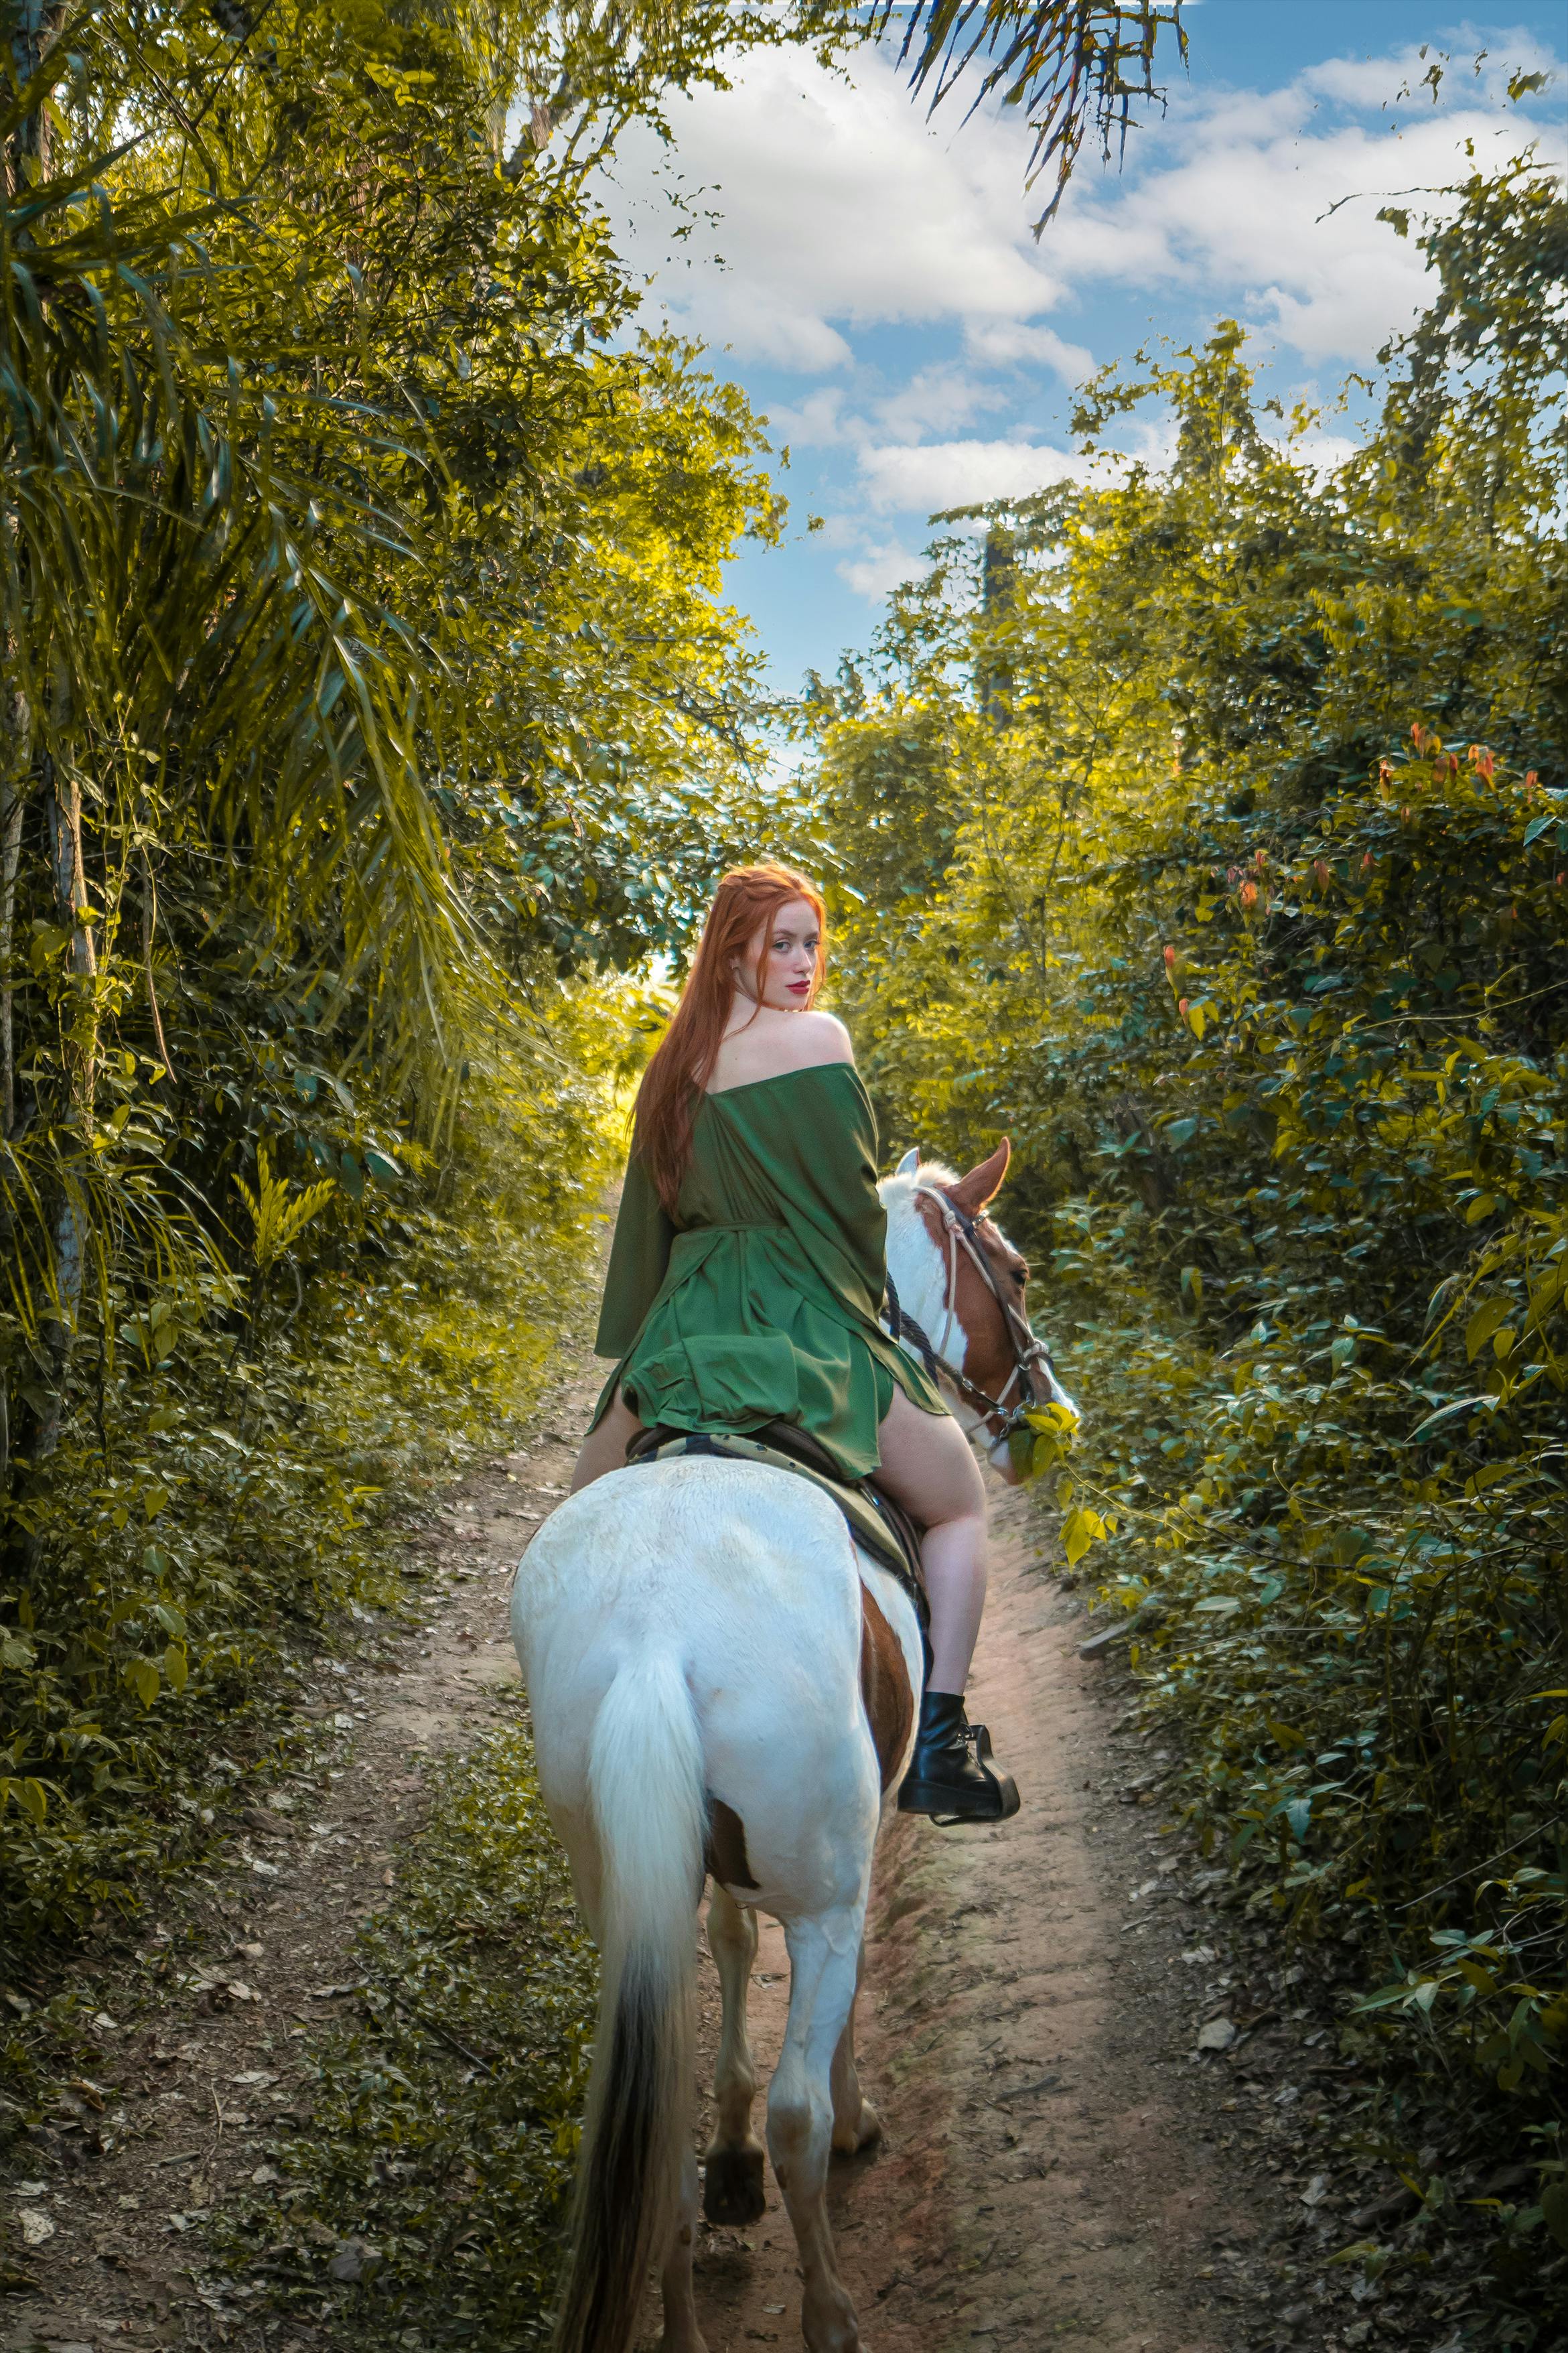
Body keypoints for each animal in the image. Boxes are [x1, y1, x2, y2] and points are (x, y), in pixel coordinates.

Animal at [514, 1138, 1081, 2353]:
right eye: (1011, 1271)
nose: (1046, 1416)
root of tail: (655, 1632)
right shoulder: (857, 1860)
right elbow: (832, 2023)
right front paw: (856, 2115)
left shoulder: (711, 1867)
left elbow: (730, 1944)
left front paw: (725, 2146)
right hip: (825, 1885)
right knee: (799, 2118)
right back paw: (830, 2305)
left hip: (622, 1878)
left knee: (659, 2143)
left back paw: (684, 2310)